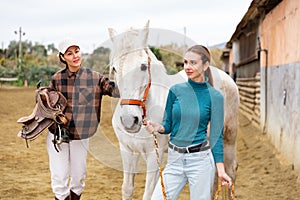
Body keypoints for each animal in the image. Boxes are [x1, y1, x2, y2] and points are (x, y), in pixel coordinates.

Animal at [108, 21, 239, 199]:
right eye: (114, 68)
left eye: (143, 66)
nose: (129, 120)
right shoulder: (127, 151)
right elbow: (127, 189)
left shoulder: (154, 155)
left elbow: (148, 194)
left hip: (229, 138)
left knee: (230, 171)